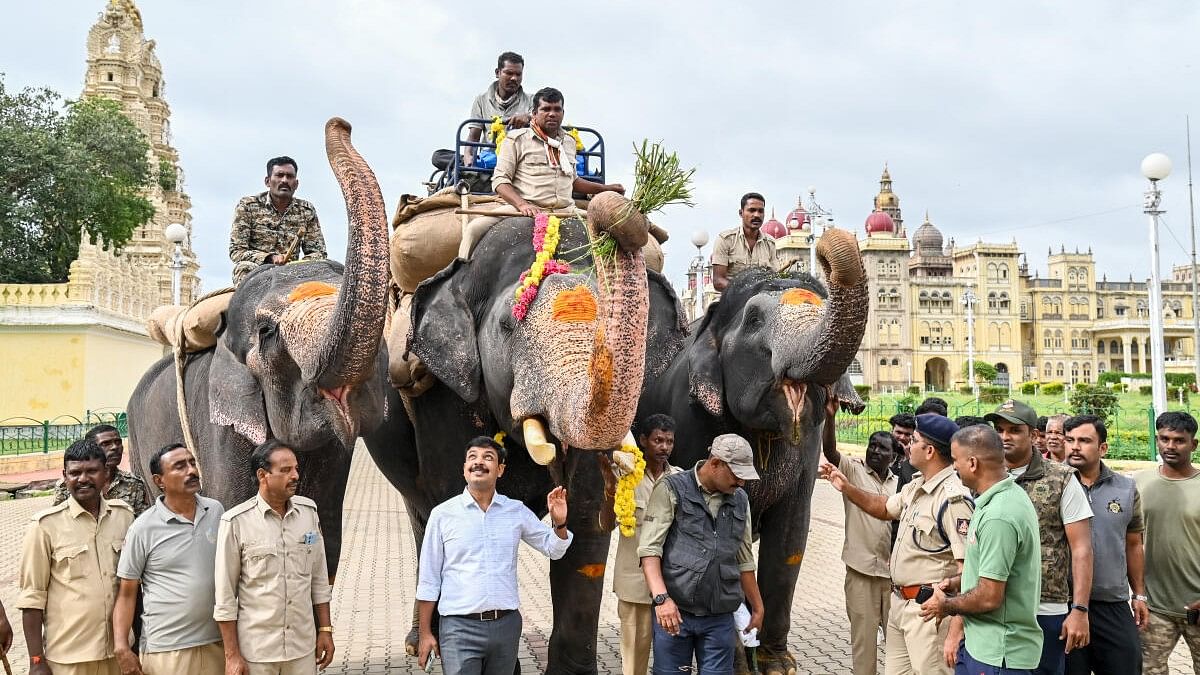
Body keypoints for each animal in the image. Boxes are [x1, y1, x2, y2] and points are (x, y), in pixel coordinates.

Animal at [360, 206, 691, 672]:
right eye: (505, 325)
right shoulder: (445, 395)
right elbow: (453, 497)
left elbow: (586, 522)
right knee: (422, 513)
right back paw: (420, 642)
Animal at [638, 227, 873, 672]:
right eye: (754, 321)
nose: (822, 243)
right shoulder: (692, 425)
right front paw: (735, 661)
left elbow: (790, 538)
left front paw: (777, 663)